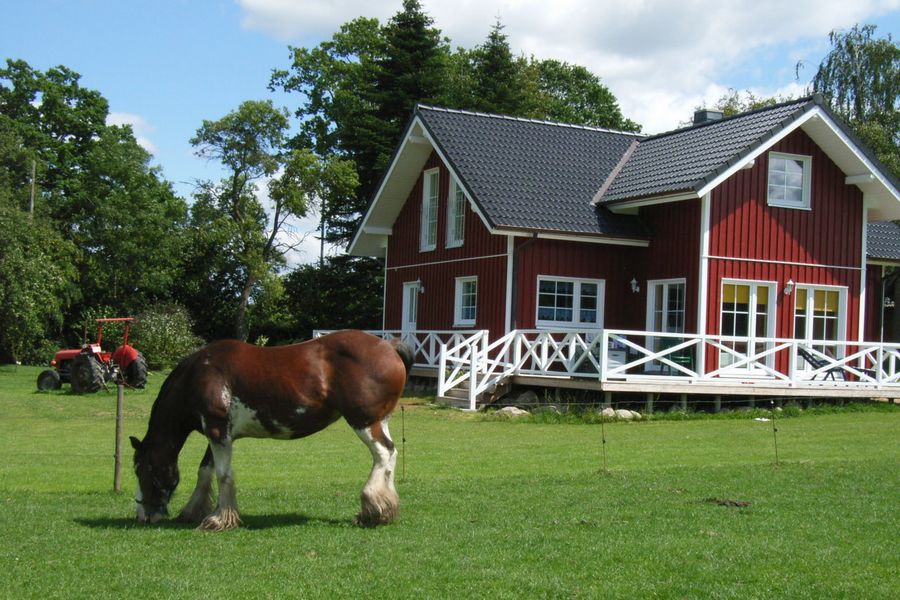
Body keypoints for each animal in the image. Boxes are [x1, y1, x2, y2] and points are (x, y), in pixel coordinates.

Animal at [128, 330, 414, 532]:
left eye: (141, 470)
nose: (143, 515)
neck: (199, 375)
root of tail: (388, 347)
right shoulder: (218, 434)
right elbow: (205, 472)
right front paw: (193, 511)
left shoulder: (218, 432)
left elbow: (223, 475)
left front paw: (220, 520)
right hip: (380, 420)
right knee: (391, 456)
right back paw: (386, 507)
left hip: (364, 422)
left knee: (383, 454)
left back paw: (372, 509)